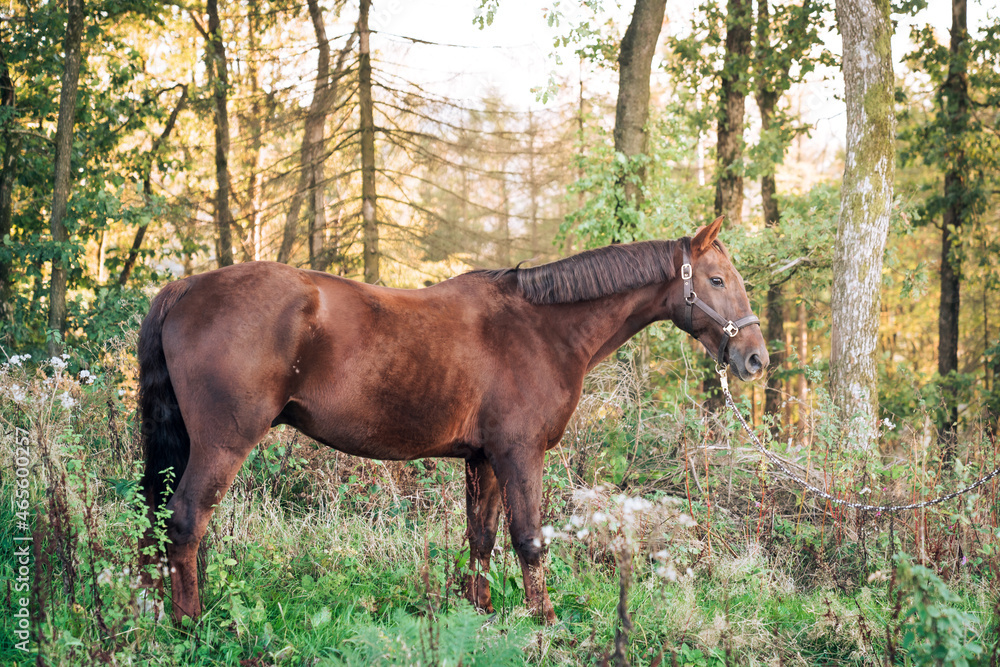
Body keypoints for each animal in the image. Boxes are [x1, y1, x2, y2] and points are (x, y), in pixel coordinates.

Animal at [137, 216, 768, 624]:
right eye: (716, 281)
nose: (755, 358)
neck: (541, 328)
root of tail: (185, 286)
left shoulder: (483, 459)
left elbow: (481, 535)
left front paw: (480, 611)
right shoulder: (519, 454)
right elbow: (528, 538)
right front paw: (544, 620)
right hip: (224, 442)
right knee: (186, 520)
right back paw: (189, 624)